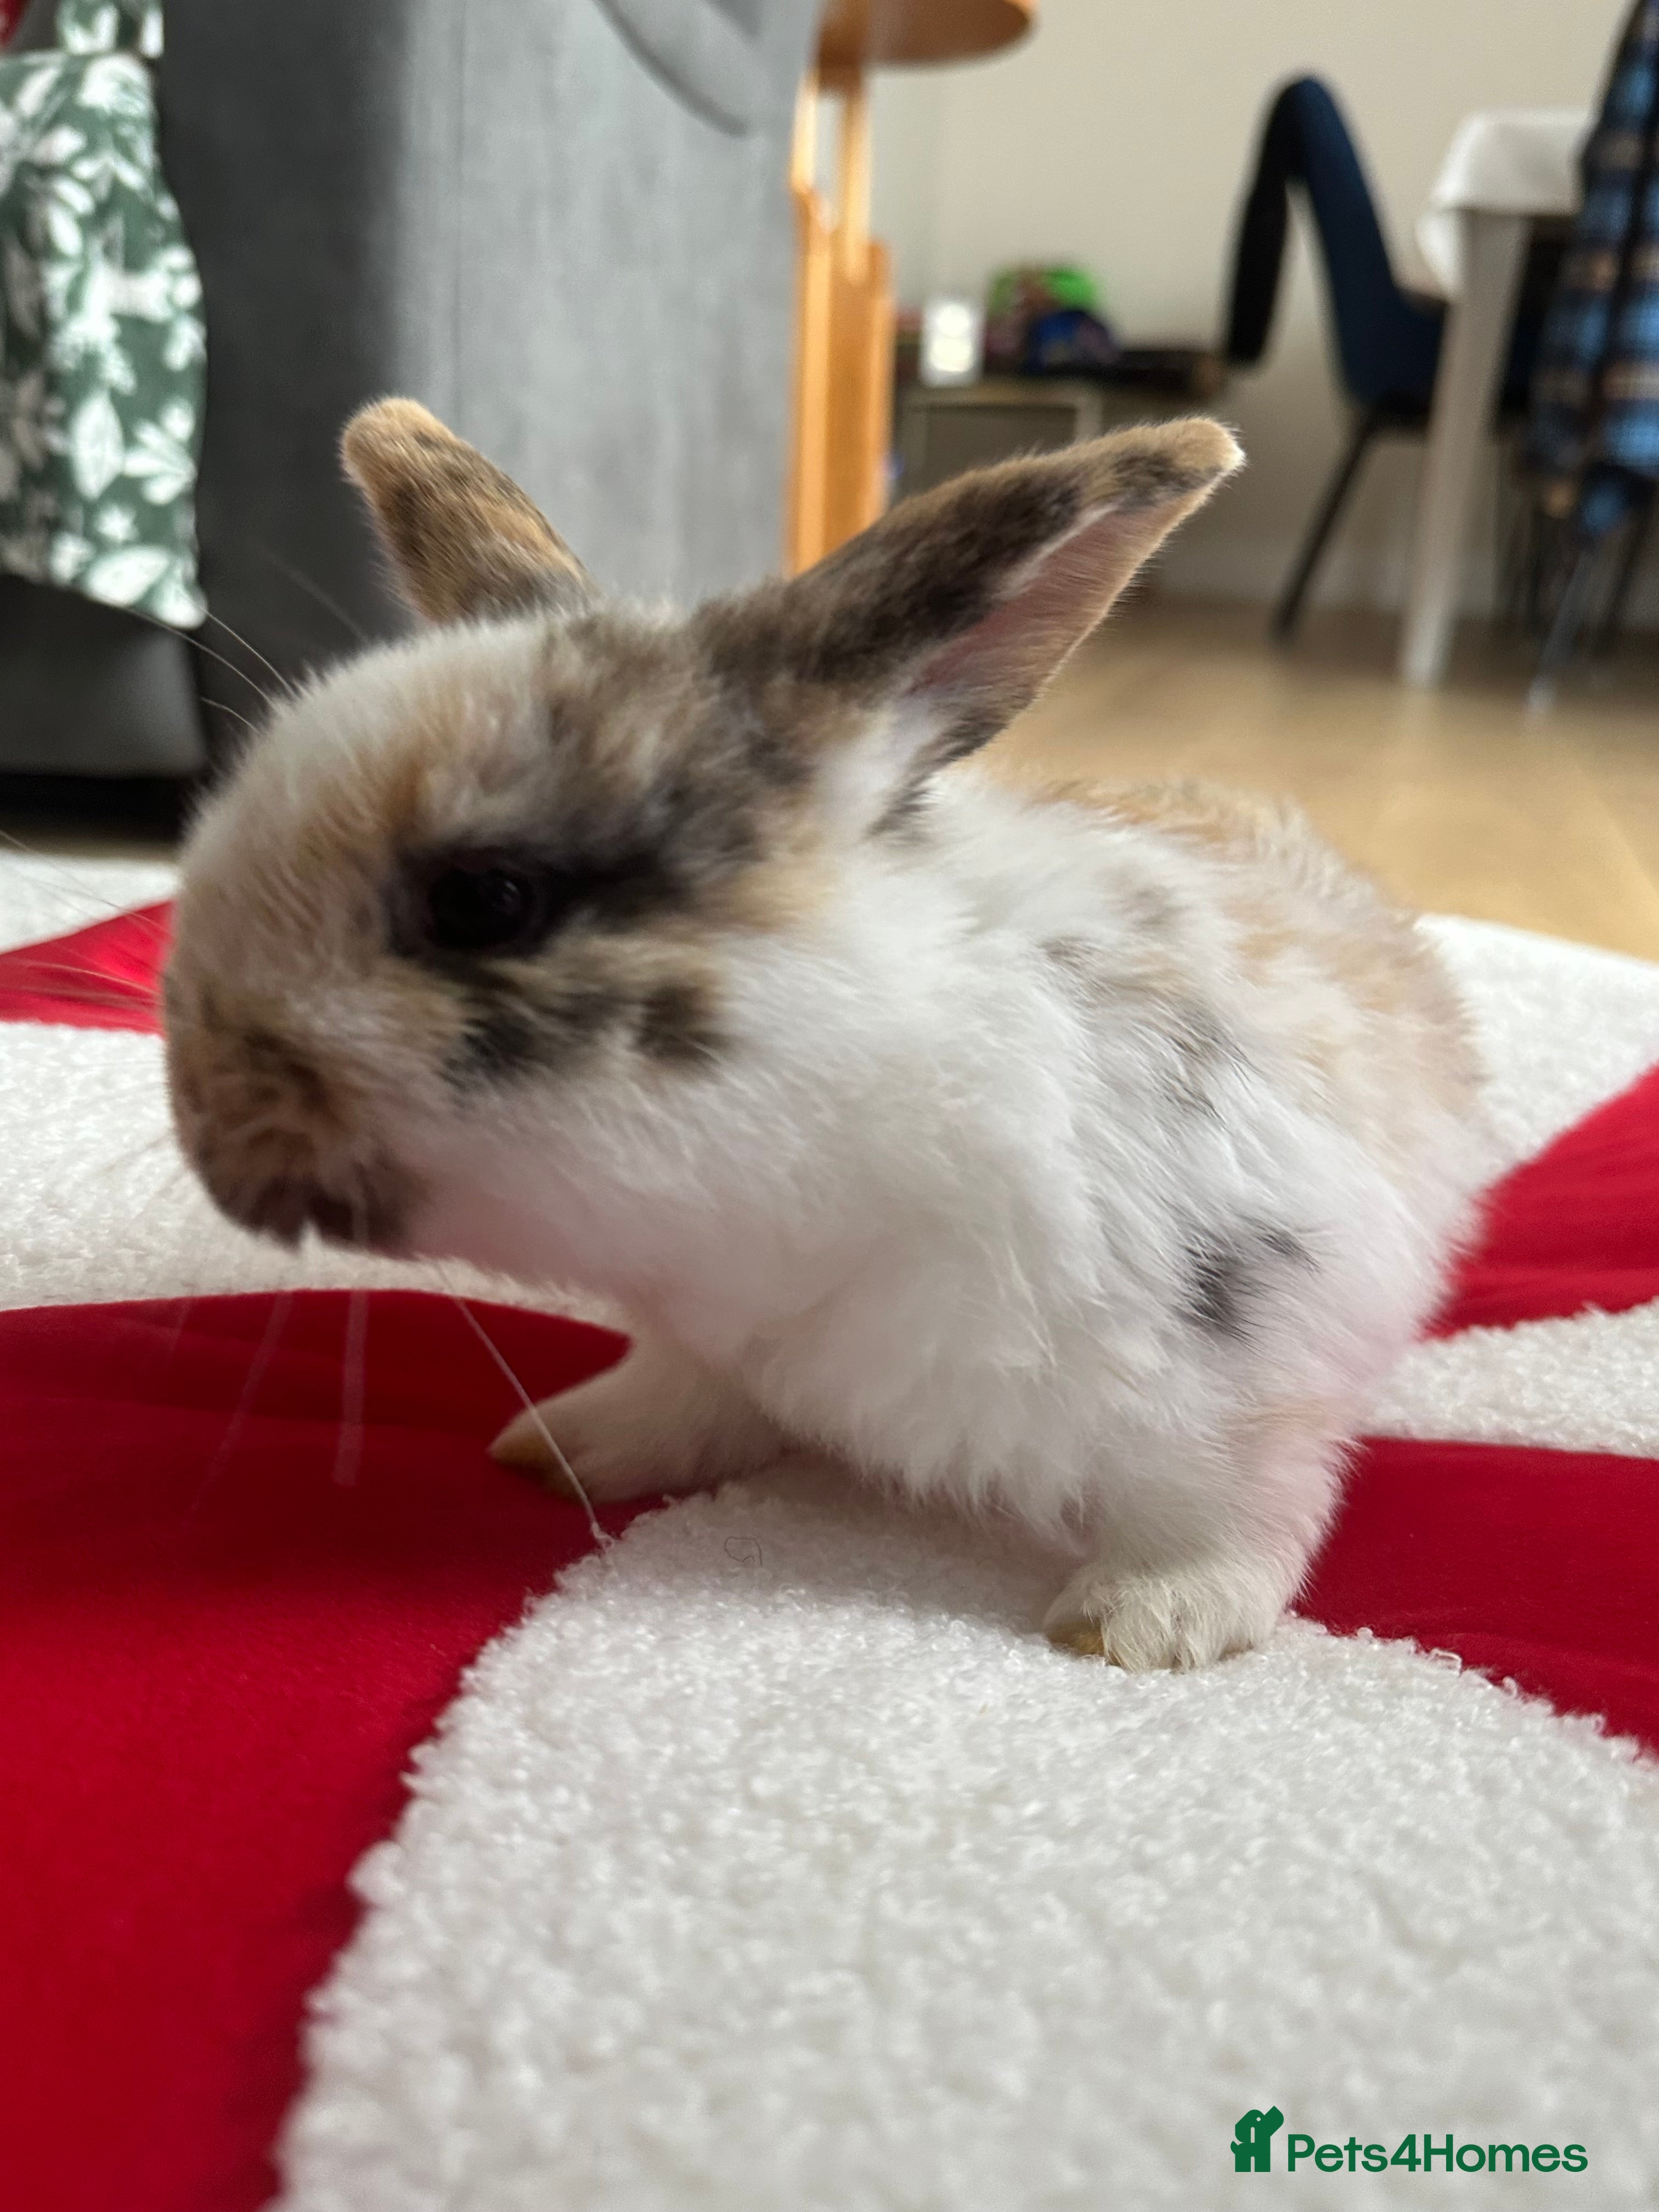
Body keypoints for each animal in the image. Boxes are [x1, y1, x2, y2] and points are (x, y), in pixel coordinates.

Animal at [164, 399, 1488, 1671]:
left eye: (484, 900)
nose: (206, 1123)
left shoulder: (1249, 1363)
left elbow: (1226, 1507)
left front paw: (1145, 1629)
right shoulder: (706, 1337)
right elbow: (681, 1397)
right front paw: (567, 1448)